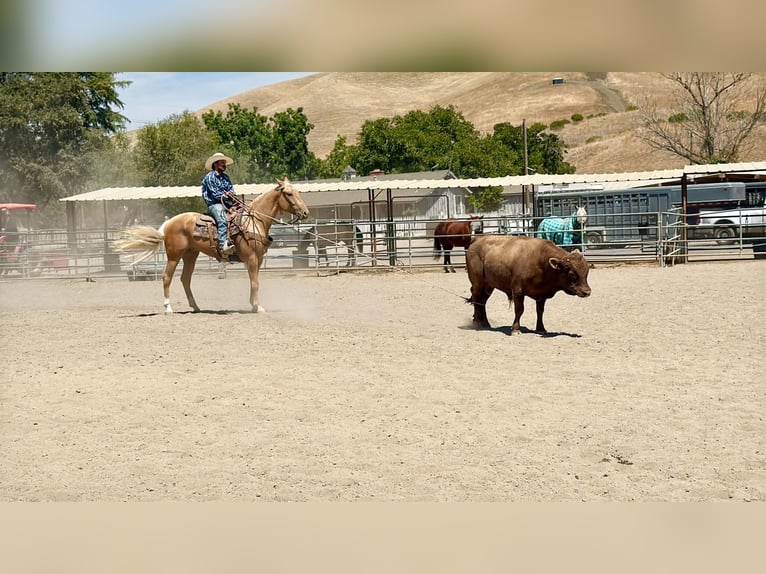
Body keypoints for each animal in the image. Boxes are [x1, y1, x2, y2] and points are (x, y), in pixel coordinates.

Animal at [113, 178, 310, 314]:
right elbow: (255, 283)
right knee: (166, 277)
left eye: (298, 192)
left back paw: (195, 306)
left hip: (190, 255)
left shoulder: (258, 259)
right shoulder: (252, 258)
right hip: (174, 256)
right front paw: (258, 307)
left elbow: (253, 282)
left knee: (185, 279)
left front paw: (253, 304)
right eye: (289, 194)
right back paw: (168, 308)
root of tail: (169, 223)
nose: (306, 213)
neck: (254, 221)